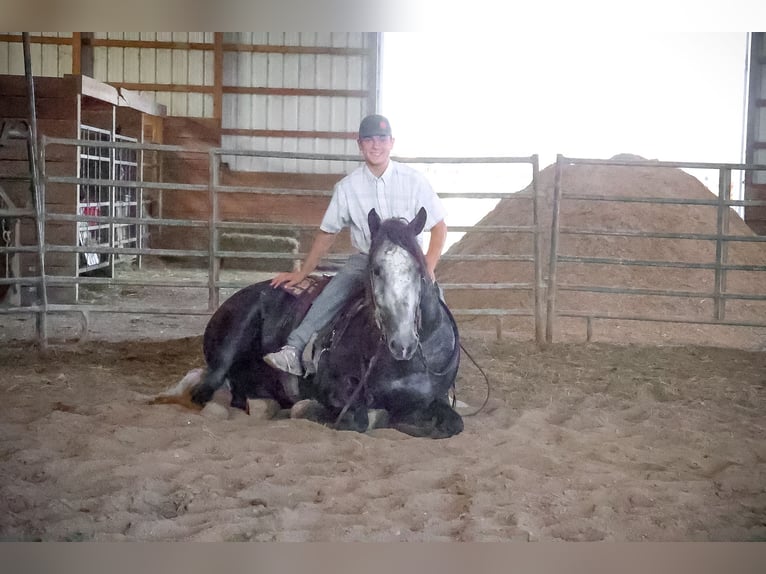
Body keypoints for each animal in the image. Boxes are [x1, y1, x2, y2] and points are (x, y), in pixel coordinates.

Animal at [166, 209, 464, 438]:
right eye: (375, 269)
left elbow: (453, 424)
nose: (402, 343)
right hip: (231, 342)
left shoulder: (436, 399)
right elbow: (357, 418)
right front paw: (309, 410)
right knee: (205, 391)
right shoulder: (334, 388)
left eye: (419, 270)